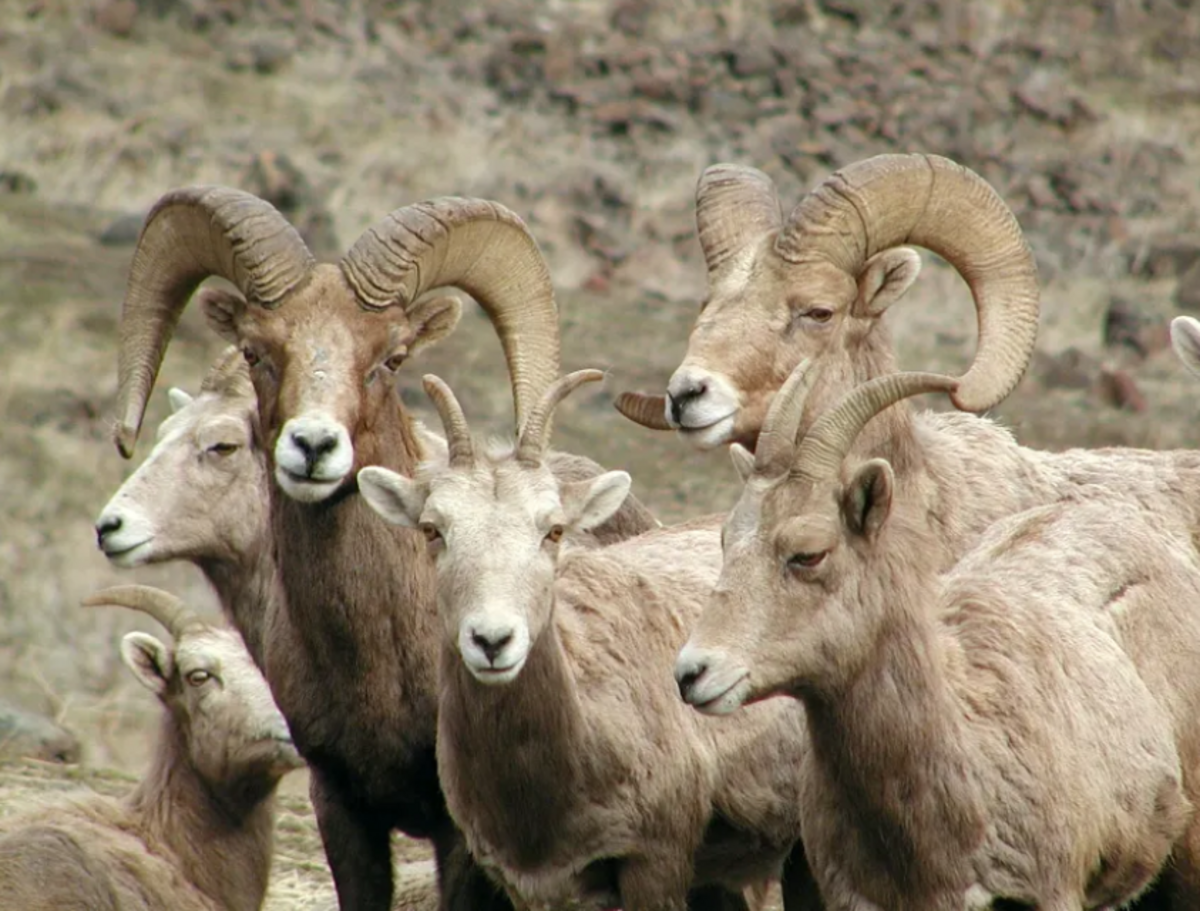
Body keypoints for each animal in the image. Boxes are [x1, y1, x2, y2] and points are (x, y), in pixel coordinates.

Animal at [107, 188, 658, 911]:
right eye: (256, 352)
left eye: (391, 359)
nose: (313, 447)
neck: (379, 654)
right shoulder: (341, 808)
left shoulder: (461, 836)